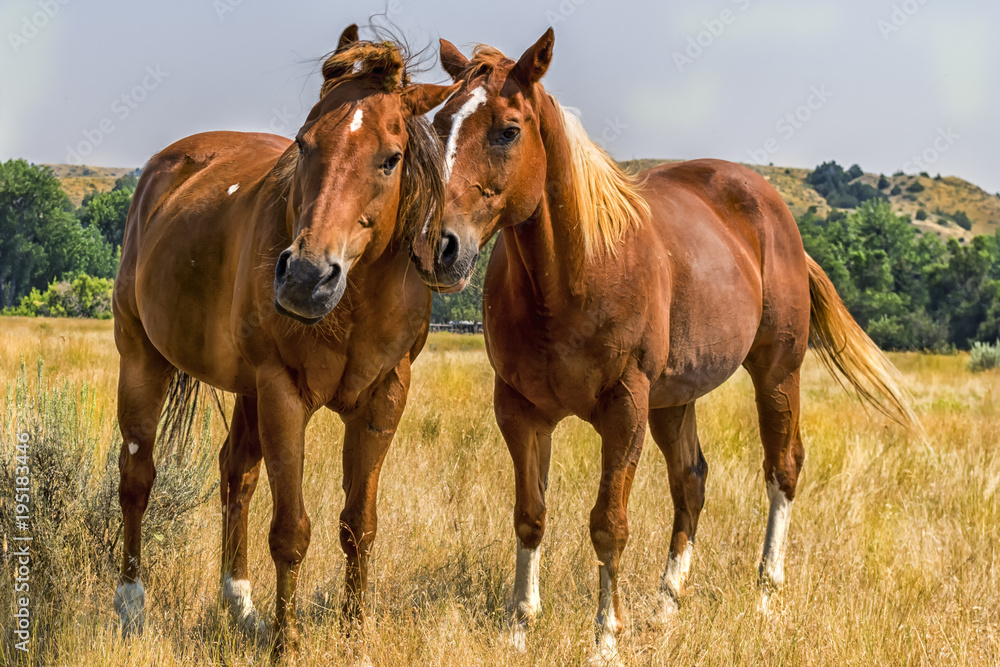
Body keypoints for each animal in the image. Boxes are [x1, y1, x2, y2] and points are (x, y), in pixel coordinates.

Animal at [112, 26, 456, 654]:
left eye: (391, 159)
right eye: (303, 143)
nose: (304, 277)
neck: (355, 303)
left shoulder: (384, 399)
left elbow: (358, 525)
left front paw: (353, 633)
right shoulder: (283, 393)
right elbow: (292, 531)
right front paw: (287, 643)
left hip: (244, 391)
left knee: (236, 477)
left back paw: (241, 605)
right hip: (143, 360)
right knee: (137, 479)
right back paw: (131, 606)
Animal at [411, 30, 918, 655]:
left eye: (507, 130)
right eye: (440, 122)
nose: (439, 248)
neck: (573, 273)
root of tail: (774, 211)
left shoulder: (625, 407)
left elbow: (609, 524)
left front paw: (606, 640)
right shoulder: (520, 411)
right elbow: (530, 515)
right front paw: (518, 632)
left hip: (777, 373)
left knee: (783, 467)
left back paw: (765, 597)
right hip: (675, 400)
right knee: (691, 481)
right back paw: (667, 604)